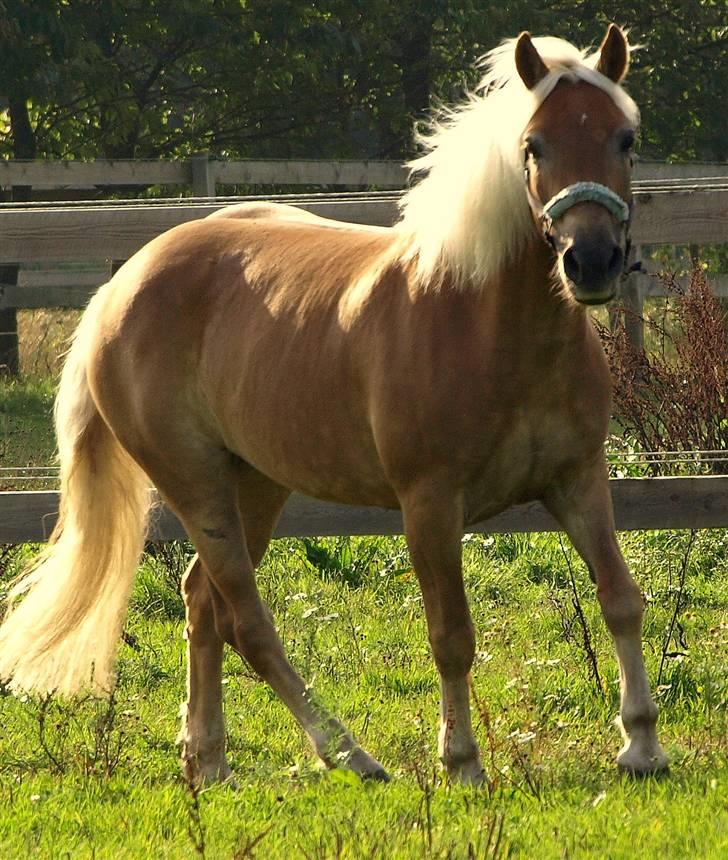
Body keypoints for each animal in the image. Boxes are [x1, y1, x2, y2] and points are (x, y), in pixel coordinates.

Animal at [0, 23, 664, 784]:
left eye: (625, 138)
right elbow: (451, 635)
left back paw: (209, 760)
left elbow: (620, 598)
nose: (592, 261)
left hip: (255, 483)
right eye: (534, 145)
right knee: (247, 621)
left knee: (203, 604)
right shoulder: (429, 505)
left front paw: (643, 745)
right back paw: (349, 752)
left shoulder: (579, 481)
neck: (489, 326)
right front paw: (461, 762)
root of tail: (123, 283)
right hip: (195, 482)